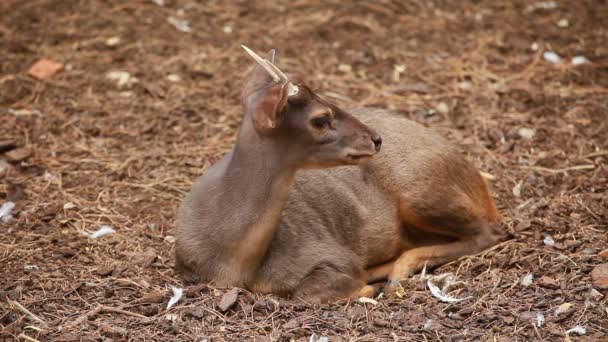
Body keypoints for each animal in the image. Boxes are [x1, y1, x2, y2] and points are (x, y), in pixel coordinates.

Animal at [173, 44, 502, 302]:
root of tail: (473, 175)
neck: (233, 261)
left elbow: (308, 293)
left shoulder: (329, 253)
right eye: (320, 119)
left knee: (489, 231)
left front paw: (367, 286)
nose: (376, 138)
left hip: (419, 191)